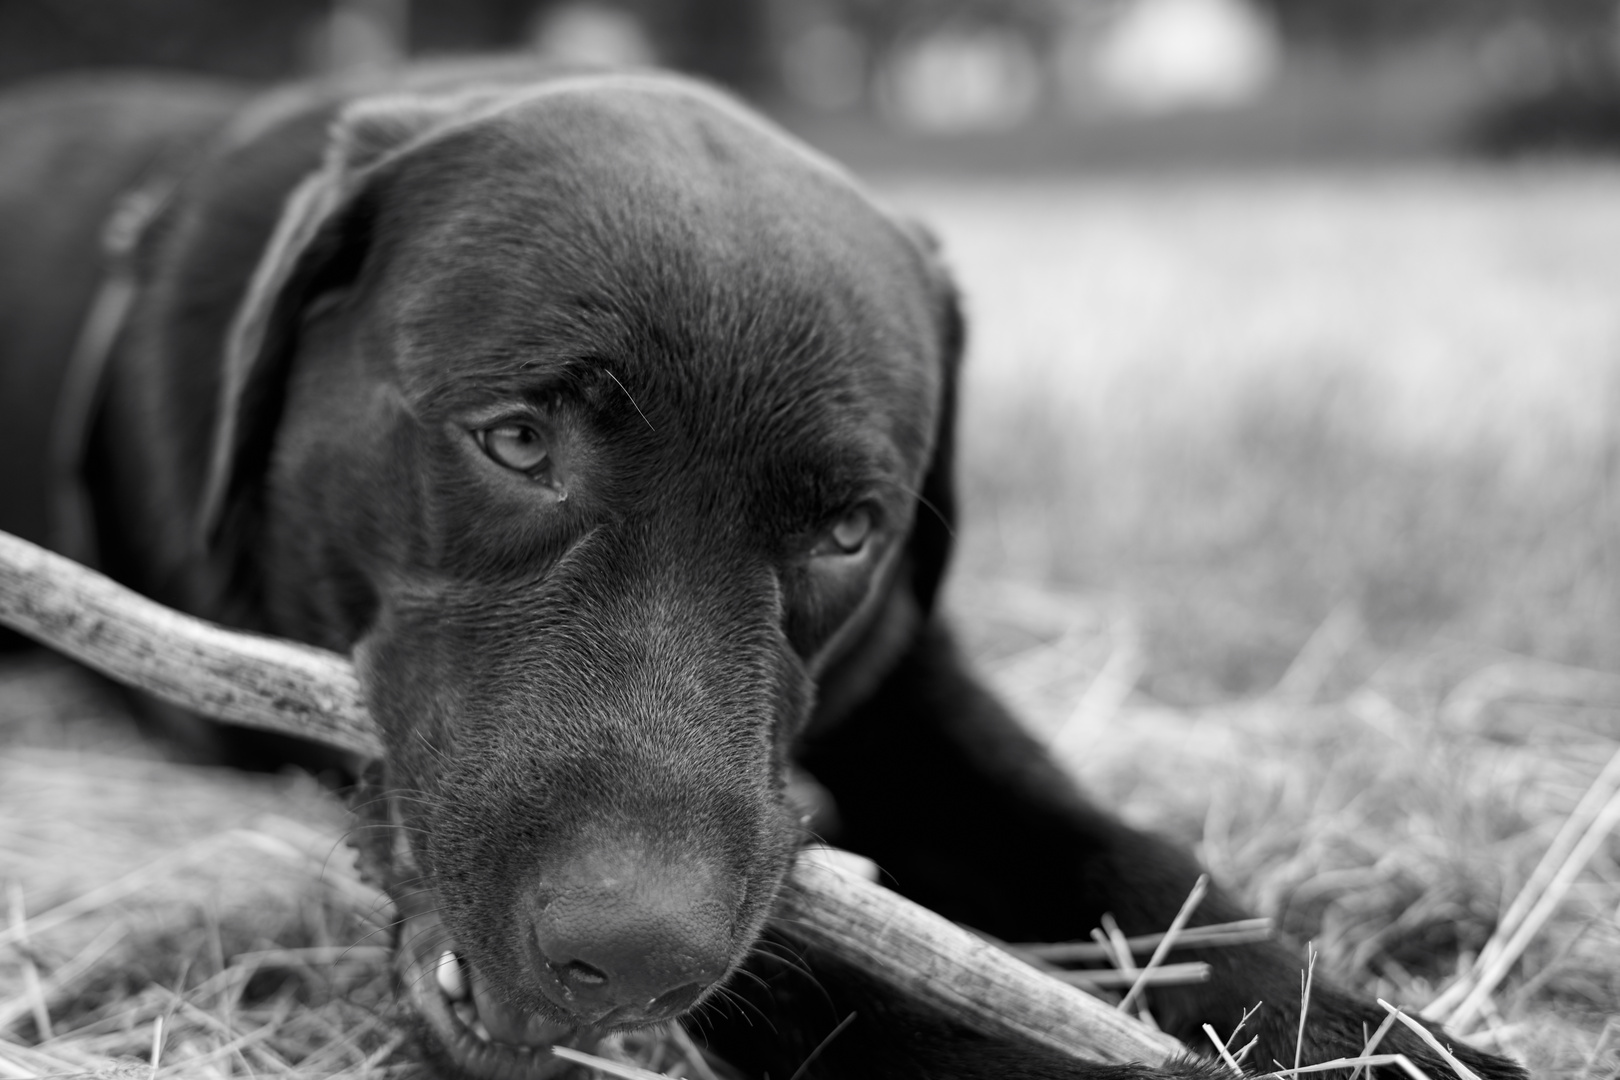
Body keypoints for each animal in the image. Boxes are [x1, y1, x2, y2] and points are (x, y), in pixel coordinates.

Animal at [0, 65, 1529, 1080]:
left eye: (847, 532)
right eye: (516, 440)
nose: (630, 953)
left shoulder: (908, 677)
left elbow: (1128, 853)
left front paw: (1363, 1029)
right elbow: (829, 969)